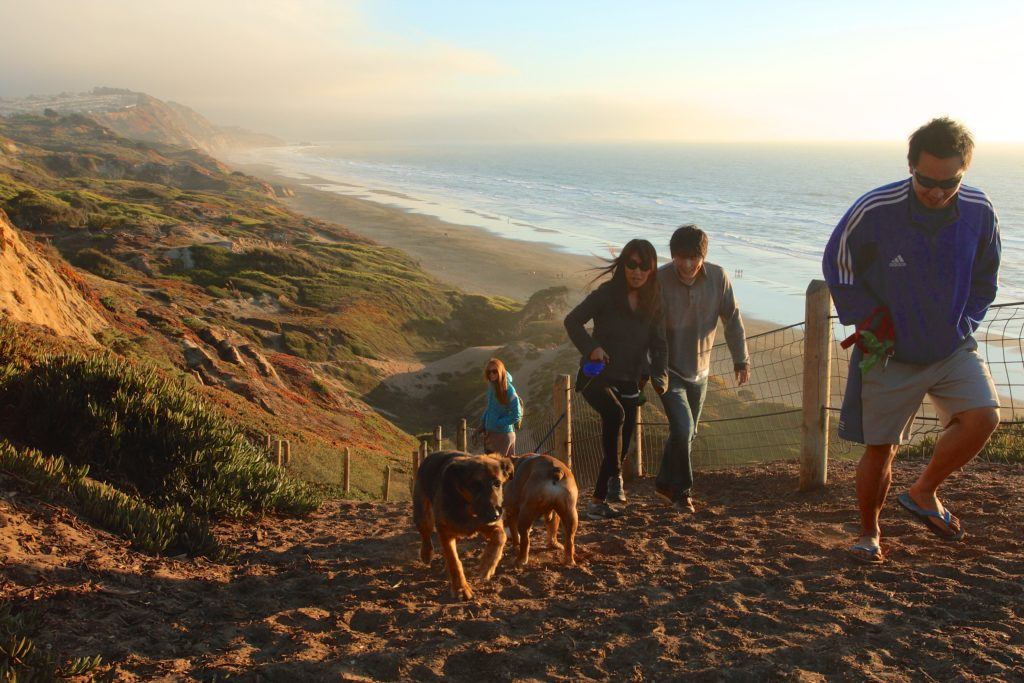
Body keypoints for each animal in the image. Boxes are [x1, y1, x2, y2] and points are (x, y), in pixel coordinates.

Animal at [412, 450, 514, 600]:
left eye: (497, 483)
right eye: (475, 486)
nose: (495, 514)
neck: (467, 506)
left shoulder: (489, 525)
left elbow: (500, 536)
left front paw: (487, 565)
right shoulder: (445, 531)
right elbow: (454, 561)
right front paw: (461, 588)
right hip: (422, 515)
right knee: (425, 533)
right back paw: (426, 553)